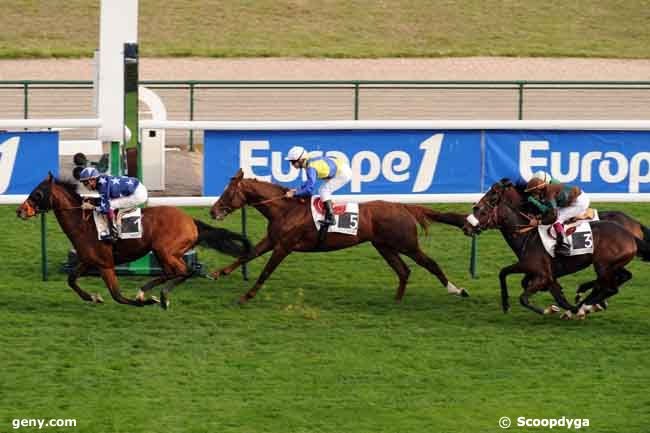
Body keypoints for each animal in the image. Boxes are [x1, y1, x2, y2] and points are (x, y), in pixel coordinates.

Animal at [17, 174, 251, 308]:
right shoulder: (87, 260)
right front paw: (93, 297)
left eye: (37, 193)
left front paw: (144, 302)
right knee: (175, 272)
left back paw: (157, 296)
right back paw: (151, 293)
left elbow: (117, 295)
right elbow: (71, 280)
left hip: (165, 250)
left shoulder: (105, 264)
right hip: (163, 253)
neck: (83, 224)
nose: (20, 211)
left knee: (186, 271)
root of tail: (191, 221)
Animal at [208, 169, 466, 304]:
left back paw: (456, 290)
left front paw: (247, 295)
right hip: (384, 246)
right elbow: (245, 255)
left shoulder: (284, 246)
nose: (212, 211)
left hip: (407, 244)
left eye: (228, 193)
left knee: (430, 264)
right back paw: (396, 300)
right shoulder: (272, 240)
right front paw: (217, 273)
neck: (285, 209)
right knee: (404, 271)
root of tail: (403, 206)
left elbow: (265, 272)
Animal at [460, 179, 648, 318]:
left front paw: (549, 310)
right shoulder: (541, 273)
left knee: (610, 287)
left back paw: (586, 303)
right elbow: (505, 273)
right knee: (620, 278)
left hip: (603, 265)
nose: (467, 227)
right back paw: (585, 302)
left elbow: (524, 297)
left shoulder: (542, 274)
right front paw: (506, 304)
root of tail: (631, 232)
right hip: (613, 265)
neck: (527, 235)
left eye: (491, 199)